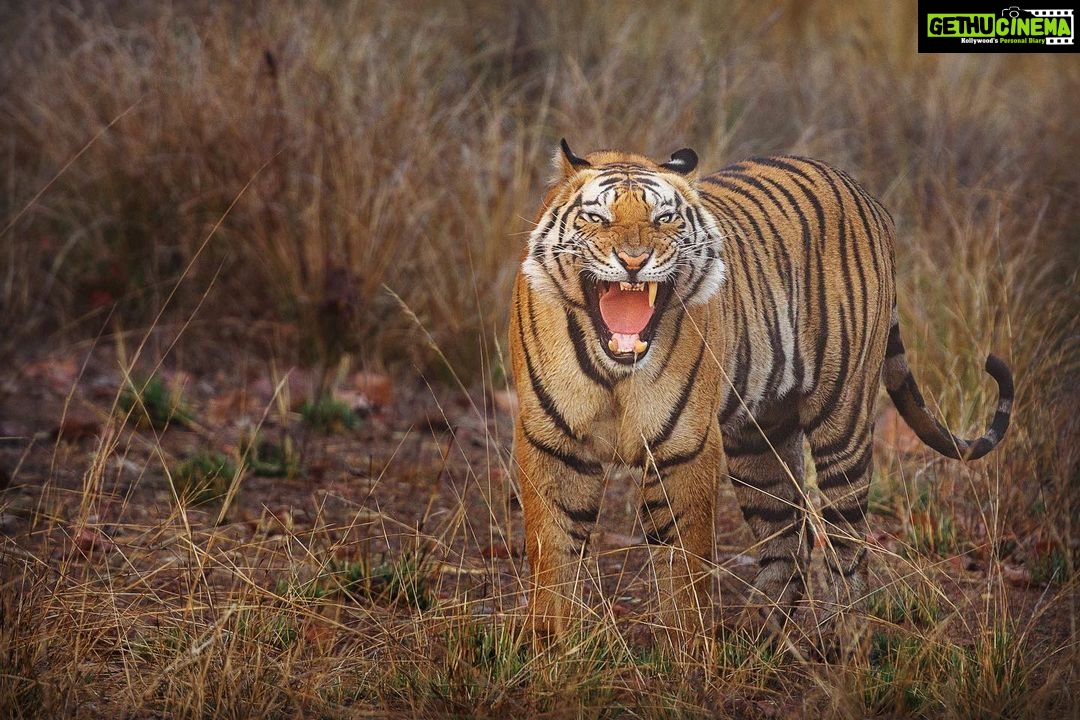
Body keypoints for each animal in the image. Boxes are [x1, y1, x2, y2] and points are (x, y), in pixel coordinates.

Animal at [508, 139, 1013, 652]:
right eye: (597, 218)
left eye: (664, 219)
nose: (634, 259)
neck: (616, 369)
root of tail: (865, 193)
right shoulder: (552, 444)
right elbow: (552, 550)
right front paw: (549, 644)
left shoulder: (684, 447)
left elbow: (683, 561)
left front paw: (687, 649)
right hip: (759, 437)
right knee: (788, 533)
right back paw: (758, 637)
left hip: (843, 418)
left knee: (847, 539)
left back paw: (842, 640)